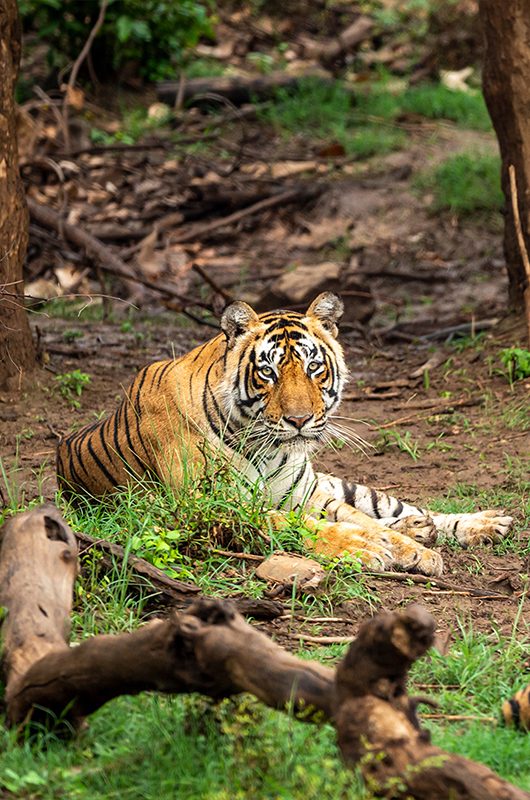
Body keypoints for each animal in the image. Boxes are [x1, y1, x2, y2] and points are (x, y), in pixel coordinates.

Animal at [56, 294, 512, 576]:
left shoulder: (307, 495)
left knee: (396, 507)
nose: (299, 419)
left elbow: (361, 520)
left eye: (313, 368)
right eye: (268, 372)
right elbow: (316, 528)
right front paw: (367, 548)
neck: (268, 449)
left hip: (335, 485)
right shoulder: (218, 507)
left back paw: (481, 523)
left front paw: (413, 549)